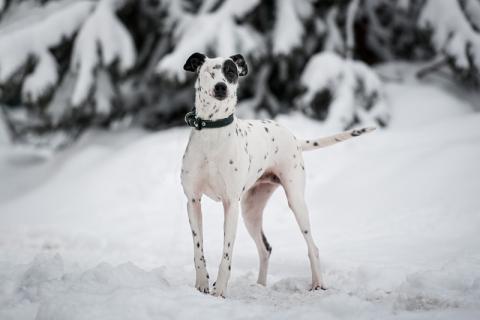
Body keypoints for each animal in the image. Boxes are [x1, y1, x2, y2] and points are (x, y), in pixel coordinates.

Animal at [180, 52, 376, 298]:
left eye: (231, 72)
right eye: (209, 72)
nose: (221, 87)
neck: (212, 133)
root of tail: (294, 138)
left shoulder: (230, 204)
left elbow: (226, 254)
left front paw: (220, 292)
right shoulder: (193, 201)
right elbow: (198, 250)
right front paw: (202, 285)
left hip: (295, 201)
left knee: (313, 247)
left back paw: (318, 283)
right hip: (250, 212)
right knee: (265, 248)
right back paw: (260, 286)